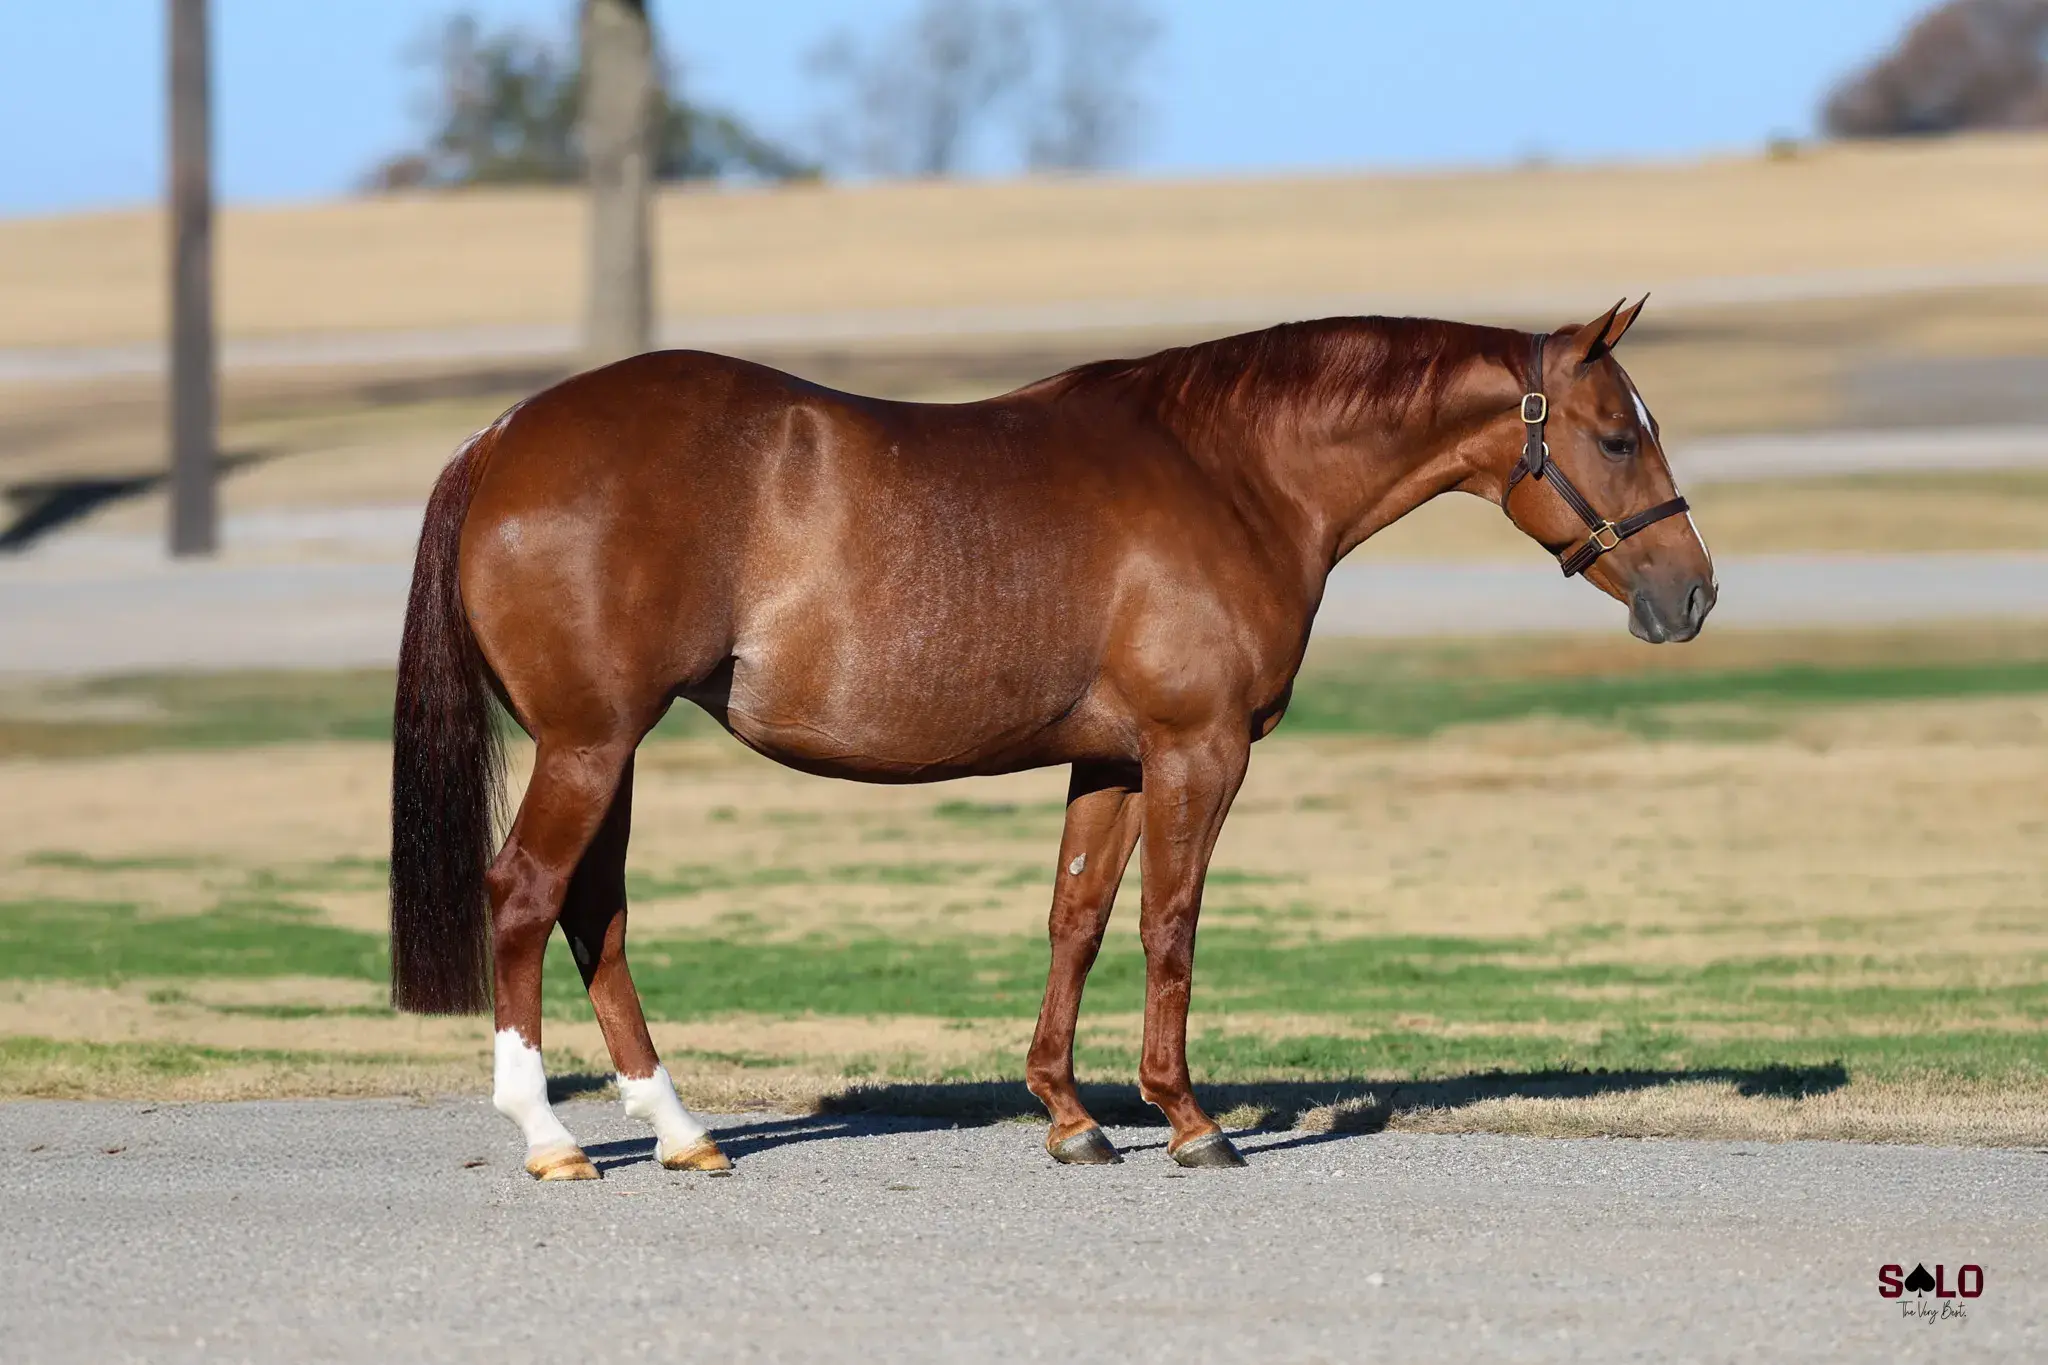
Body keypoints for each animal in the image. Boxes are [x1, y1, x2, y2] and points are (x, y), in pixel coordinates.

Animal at [389, 298, 1713, 1178]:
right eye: (1613, 436)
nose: (1691, 595)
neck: (1231, 474)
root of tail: (503, 435)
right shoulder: (1196, 750)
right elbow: (1168, 926)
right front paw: (1188, 1120)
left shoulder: (1112, 761)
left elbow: (1074, 918)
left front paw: (1071, 1117)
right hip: (588, 744)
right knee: (525, 894)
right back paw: (550, 1136)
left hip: (605, 749)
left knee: (592, 910)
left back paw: (680, 1132)